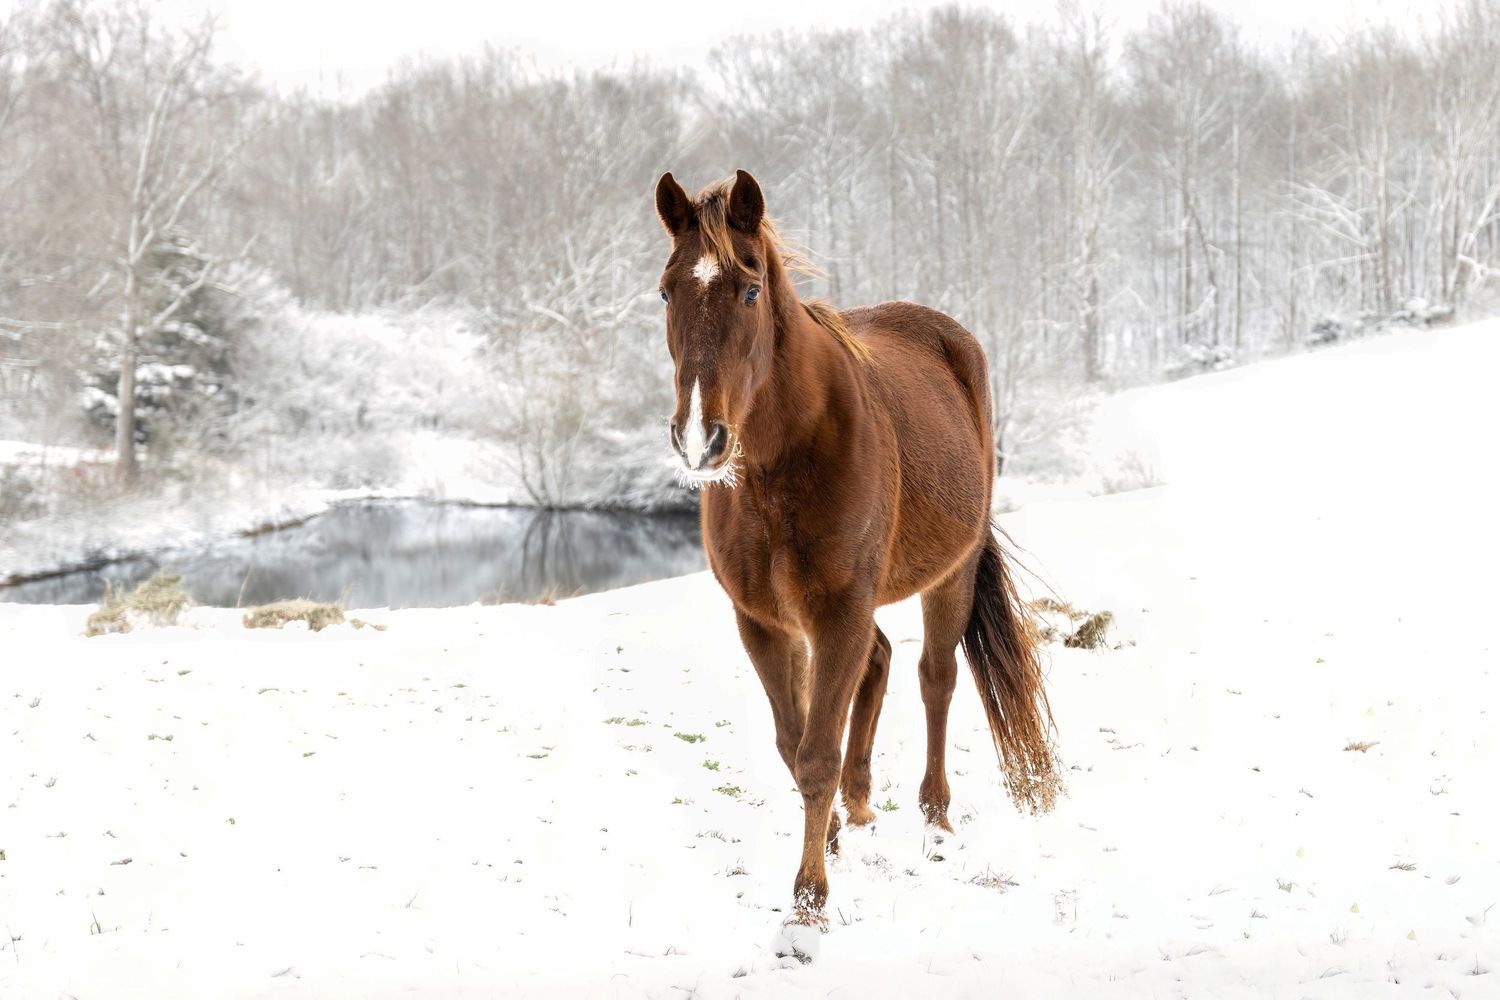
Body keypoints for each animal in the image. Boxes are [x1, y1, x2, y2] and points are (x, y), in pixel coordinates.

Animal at [654, 169, 1061, 926]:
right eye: (666, 291)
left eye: (749, 289)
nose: (701, 438)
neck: (782, 465)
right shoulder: (765, 622)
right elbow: (795, 745)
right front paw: (836, 837)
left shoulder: (838, 610)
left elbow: (818, 752)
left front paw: (809, 900)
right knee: (879, 662)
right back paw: (863, 807)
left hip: (951, 575)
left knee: (935, 678)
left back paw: (935, 815)